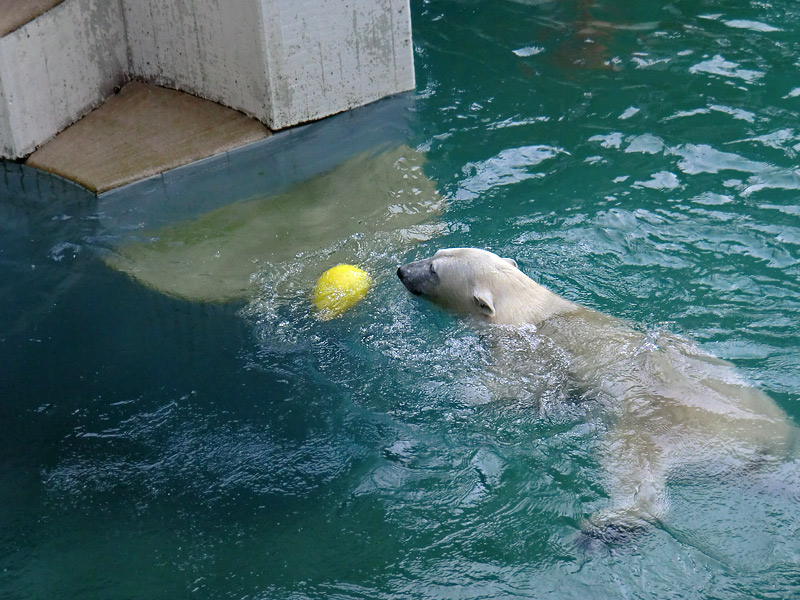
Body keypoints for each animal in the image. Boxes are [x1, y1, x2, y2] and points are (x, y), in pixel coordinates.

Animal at [396, 248, 796, 544]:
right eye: (436, 252)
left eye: (432, 269)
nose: (401, 269)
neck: (533, 310)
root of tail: (769, 446)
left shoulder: (524, 355)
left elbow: (505, 390)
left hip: (654, 429)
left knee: (635, 474)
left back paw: (605, 527)